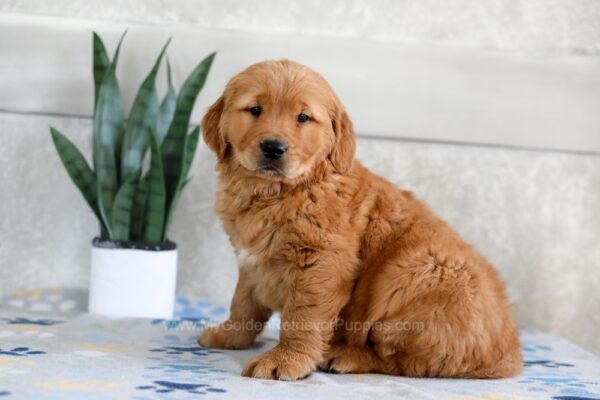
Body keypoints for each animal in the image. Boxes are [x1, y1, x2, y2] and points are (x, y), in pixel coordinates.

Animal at [199, 60, 524, 382]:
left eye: (303, 117)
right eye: (255, 109)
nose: (273, 148)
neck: (277, 192)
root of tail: (511, 353)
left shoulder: (321, 263)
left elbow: (302, 317)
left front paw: (286, 359)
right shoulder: (250, 261)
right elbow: (243, 304)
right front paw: (228, 336)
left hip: (414, 277)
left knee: (409, 361)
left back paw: (345, 356)